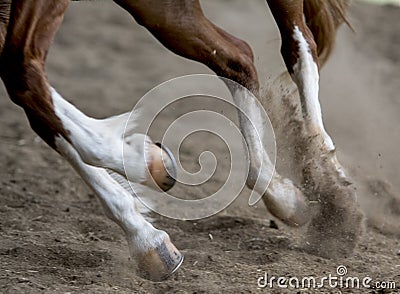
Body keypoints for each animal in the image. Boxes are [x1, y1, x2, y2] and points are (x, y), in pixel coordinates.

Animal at [0, 0, 362, 282]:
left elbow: (23, 76)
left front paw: (150, 162)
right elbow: (40, 110)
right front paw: (146, 241)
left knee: (299, 46)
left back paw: (333, 186)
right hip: (164, 8)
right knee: (238, 58)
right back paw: (286, 195)